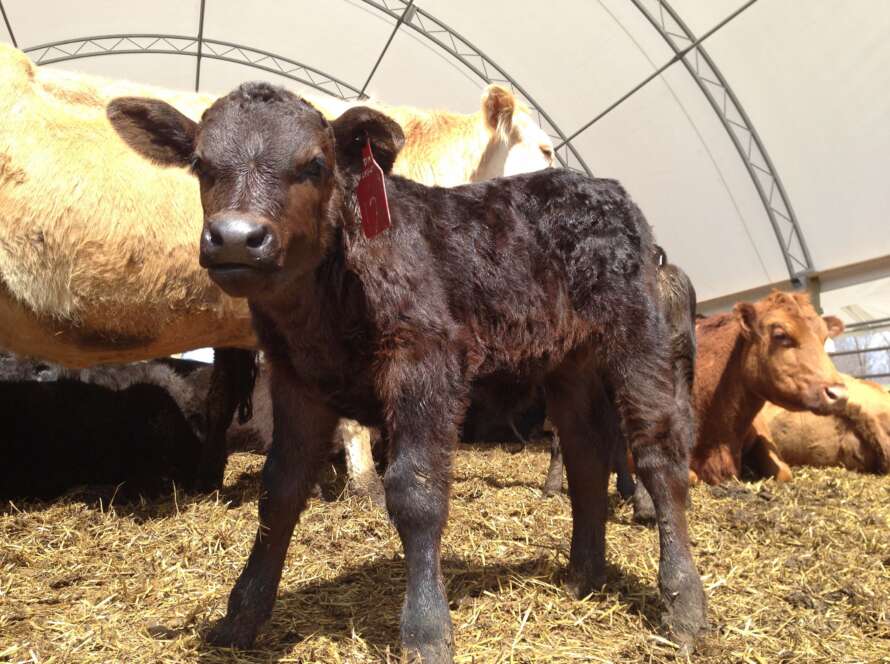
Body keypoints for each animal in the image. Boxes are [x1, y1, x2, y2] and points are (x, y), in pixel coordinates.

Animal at [108, 82, 706, 660]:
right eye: (202, 164)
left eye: (315, 164)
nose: (236, 236)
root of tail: (602, 189)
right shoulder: (297, 382)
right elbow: (279, 492)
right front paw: (240, 619)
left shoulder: (426, 364)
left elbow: (415, 492)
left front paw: (425, 631)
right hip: (568, 364)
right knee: (585, 451)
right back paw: (583, 577)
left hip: (639, 337)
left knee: (658, 453)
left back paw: (684, 608)